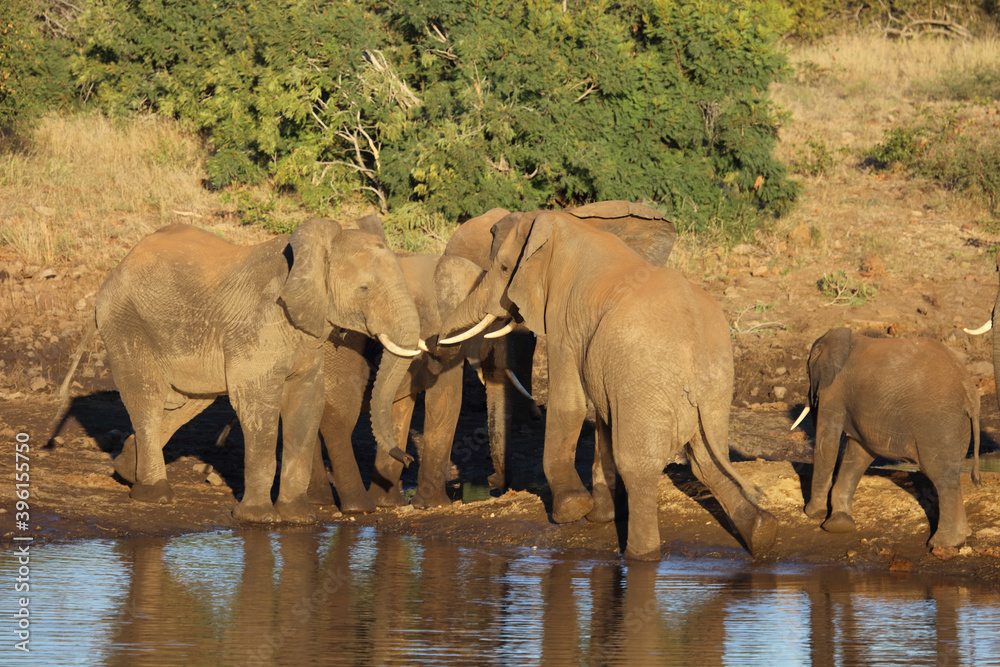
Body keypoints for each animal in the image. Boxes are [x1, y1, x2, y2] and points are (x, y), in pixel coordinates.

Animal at [97, 219, 422, 523]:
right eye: (364, 289)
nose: (407, 458)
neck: (310, 256)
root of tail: (121, 263)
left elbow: (307, 403)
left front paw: (298, 518)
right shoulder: (259, 326)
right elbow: (259, 404)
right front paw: (258, 518)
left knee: (191, 401)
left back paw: (126, 470)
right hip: (125, 321)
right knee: (147, 399)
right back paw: (154, 494)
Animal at [790, 327, 981, 547]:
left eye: (807, 372)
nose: (811, 510)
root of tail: (970, 393)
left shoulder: (835, 390)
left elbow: (828, 443)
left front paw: (814, 513)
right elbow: (859, 453)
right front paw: (839, 524)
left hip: (938, 424)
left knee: (942, 478)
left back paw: (942, 544)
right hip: (957, 425)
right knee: (952, 475)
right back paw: (962, 536)